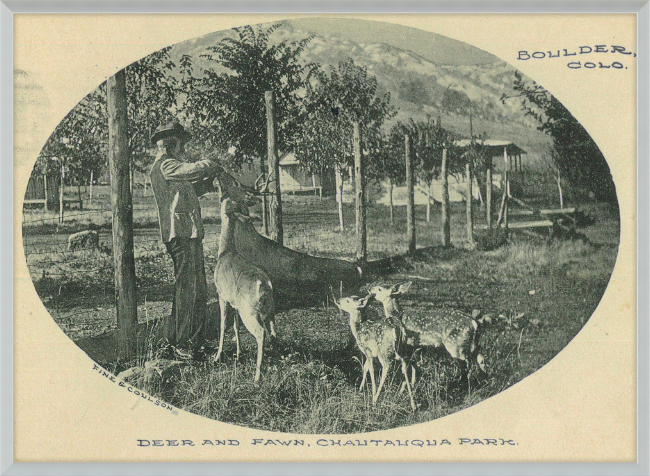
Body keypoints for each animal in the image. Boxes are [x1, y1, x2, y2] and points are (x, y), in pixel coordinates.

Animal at [213, 197, 274, 384]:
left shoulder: (222, 295)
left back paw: (257, 376)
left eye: (227, 203)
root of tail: (263, 284)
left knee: (261, 333)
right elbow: (235, 325)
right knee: (273, 331)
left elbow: (223, 325)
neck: (225, 252)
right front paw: (239, 353)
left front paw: (217, 356)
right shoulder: (235, 303)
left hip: (249, 311)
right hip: (267, 309)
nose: (222, 198)